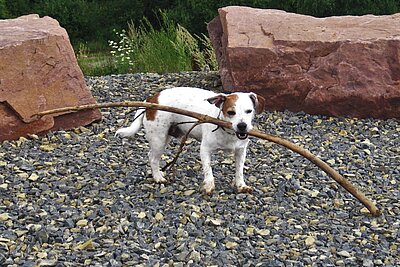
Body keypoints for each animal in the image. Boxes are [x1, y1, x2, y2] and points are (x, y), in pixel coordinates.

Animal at [115, 88, 266, 195]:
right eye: (231, 112)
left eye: (249, 111)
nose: (242, 125)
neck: (229, 132)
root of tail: (151, 99)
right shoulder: (205, 150)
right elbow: (208, 170)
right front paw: (209, 186)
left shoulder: (241, 151)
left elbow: (239, 170)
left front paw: (241, 185)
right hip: (159, 139)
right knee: (152, 158)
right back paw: (158, 177)